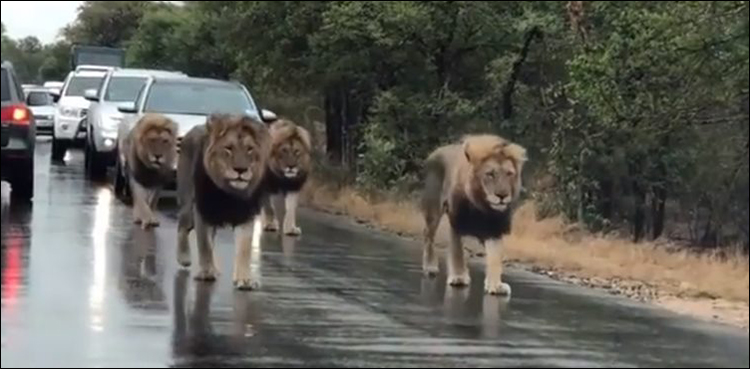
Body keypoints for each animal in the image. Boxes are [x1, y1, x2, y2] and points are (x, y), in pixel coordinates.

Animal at [176, 113, 270, 288]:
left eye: (249, 149)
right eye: (228, 148)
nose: (241, 170)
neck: (230, 191)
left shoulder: (246, 215)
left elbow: (244, 248)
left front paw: (244, 279)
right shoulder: (202, 211)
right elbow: (204, 245)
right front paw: (206, 272)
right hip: (187, 202)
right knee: (183, 227)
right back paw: (184, 258)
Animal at [424, 134, 528, 294]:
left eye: (509, 174)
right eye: (490, 174)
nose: (502, 195)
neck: (482, 206)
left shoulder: (495, 229)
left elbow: (495, 257)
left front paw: (495, 285)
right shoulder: (457, 222)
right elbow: (458, 251)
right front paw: (459, 277)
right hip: (433, 211)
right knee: (428, 236)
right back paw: (430, 267)